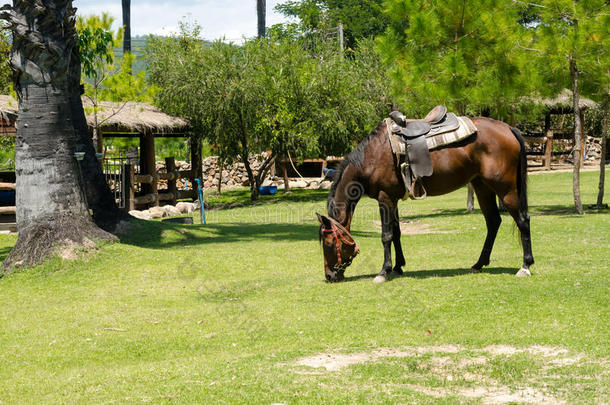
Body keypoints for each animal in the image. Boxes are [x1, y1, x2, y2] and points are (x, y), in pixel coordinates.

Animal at [318, 116, 532, 280]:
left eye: (328, 244)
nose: (329, 276)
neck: (372, 156)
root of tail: (508, 128)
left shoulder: (384, 198)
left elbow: (386, 236)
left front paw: (384, 271)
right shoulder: (393, 199)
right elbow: (396, 233)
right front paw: (398, 267)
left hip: (505, 188)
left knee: (522, 220)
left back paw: (525, 266)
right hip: (482, 187)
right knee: (493, 222)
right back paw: (479, 264)